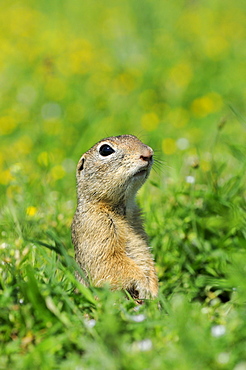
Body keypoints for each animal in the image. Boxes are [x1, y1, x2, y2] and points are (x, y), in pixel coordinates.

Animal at [72, 134, 159, 300]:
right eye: (105, 150)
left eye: (135, 137)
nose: (148, 153)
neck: (122, 208)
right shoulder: (96, 227)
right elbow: (110, 263)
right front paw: (144, 285)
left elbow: (146, 259)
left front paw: (153, 291)